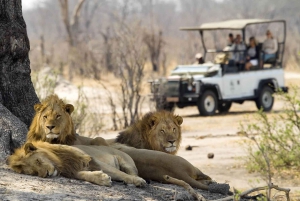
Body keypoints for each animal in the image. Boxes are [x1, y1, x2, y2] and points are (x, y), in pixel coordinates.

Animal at [7, 141, 146, 187]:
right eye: (34, 172)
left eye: (38, 161)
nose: (46, 174)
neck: (60, 162)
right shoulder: (72, 169)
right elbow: (83, 175)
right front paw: (102, 179)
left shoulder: (92, 160)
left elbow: (120, 174)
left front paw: (138, 181)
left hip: (127, 162)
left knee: (131, 172)